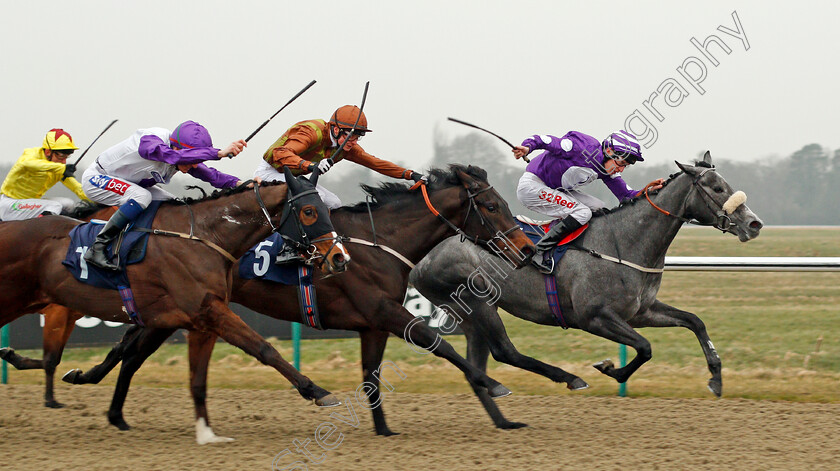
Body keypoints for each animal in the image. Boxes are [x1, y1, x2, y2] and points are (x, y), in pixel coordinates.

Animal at [0, 171, 352, 442]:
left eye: (325, 209)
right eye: (309, 211)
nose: (340, 258)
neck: (204, 237)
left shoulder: (190, 318)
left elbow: (153, 363)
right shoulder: (208, 312)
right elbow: (264, 349)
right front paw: (317, 391)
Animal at [410, 153, 764, 430]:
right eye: (717, 188)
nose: (754, 224)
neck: (622, 242)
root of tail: (421, 258)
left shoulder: (640, 312)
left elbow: (694, 321)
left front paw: (716, 379)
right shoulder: (594, 317)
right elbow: (645, 347)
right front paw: (611, 369)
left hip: (473, 315)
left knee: (477, 369)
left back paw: (504, 421)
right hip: (476, 303)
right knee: (503, 353)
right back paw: (565, 381)